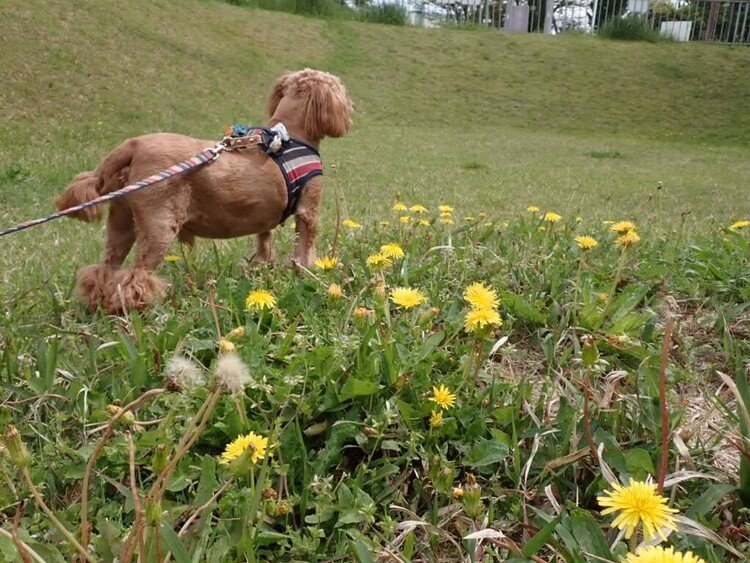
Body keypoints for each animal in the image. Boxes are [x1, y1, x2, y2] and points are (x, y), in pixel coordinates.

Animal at [54, 69, 354, 316]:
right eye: (341, 91)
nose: (353, 106)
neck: (288, 135)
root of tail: (133, 145)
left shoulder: (264, 218)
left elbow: (263, 242)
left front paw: (262, 268)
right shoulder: (308, 209)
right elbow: (305, 247)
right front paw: (310, 272)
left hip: (121, 221)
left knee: (105, 269)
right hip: (159, 224)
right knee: (135, 277)